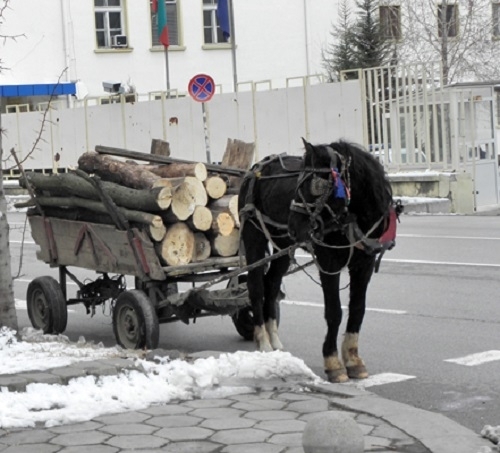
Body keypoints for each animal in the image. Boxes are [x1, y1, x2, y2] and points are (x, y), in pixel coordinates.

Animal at [237, 139, 398, 382]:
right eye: (299, 183)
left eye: (314, 185)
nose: (294, 226)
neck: (351, 218)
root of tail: (254, 169)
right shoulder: (328, 263)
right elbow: (334, 312)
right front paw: (333, 363)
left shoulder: (364, 265)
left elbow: (358, 308)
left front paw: (354, 361)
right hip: (253, 235)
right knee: (255, 286)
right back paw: (263, 341)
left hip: (283, 246)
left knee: (271, 284)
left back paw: (275, 341)